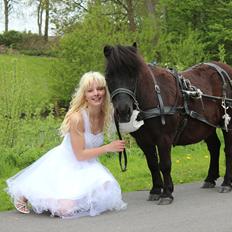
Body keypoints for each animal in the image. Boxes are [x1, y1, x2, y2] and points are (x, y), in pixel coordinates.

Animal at [103, 42, 232, 204]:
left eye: (133, 74)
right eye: (109, 75)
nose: (123, 110)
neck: (153, 97)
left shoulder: (164, 138)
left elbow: (164, 165)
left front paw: (167, 193)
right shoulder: (143, 141)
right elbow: (152, 164)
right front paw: (156, 190)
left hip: (227, 123)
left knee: (228, 150)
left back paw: (227, 182)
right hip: (206, 125)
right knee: (214, 147)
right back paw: (210, 178)